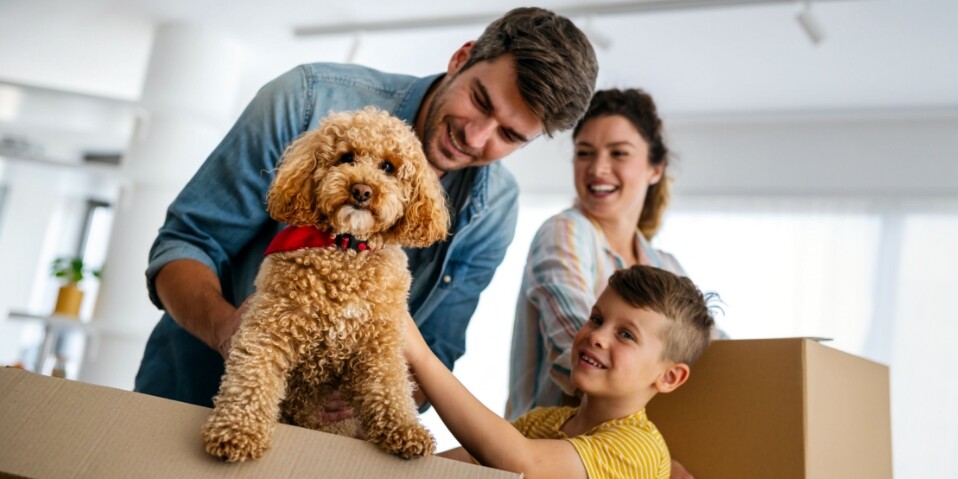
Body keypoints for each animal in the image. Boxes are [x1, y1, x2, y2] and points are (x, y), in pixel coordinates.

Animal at [202, 108, 450, 462]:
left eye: (388, 167)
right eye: (346, 157)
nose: (361, 190)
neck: (346, 248)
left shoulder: (380, 345)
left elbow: (391, 387)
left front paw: (406, 430)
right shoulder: (269, 328)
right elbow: (251, 377)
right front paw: (237, 430)